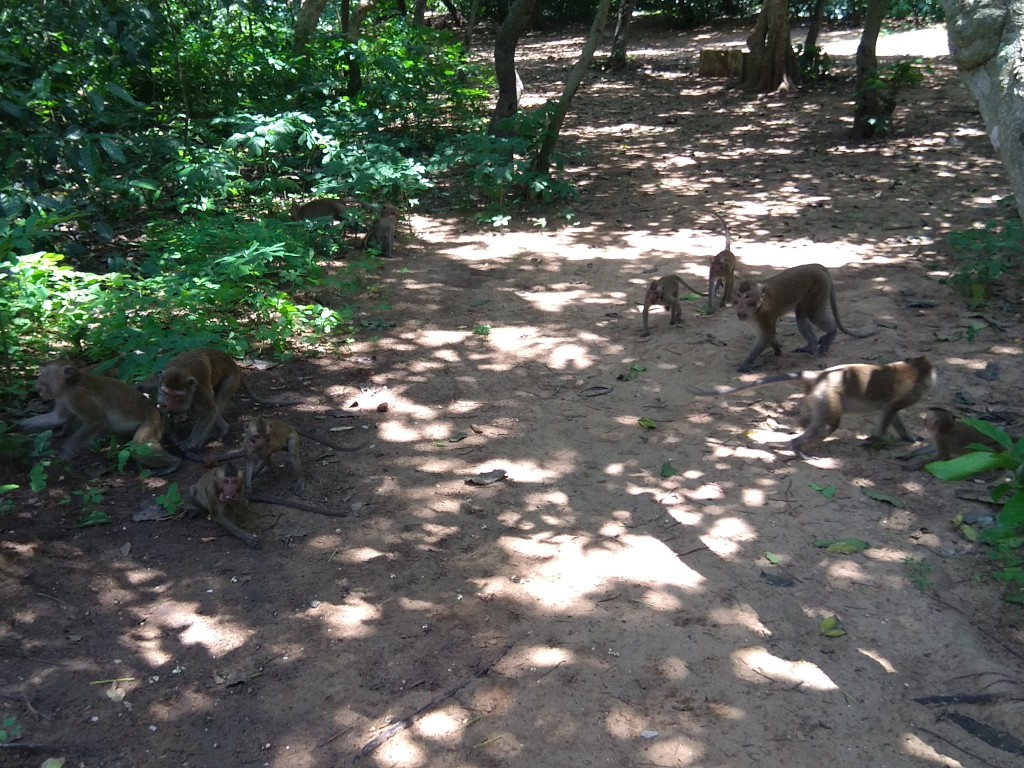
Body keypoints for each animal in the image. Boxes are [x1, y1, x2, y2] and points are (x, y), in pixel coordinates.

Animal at [20, 360, 180, 475]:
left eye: (42, 376)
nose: (36, 385)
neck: (70, 386)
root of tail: (155, 410)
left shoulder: (78, 398)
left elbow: (96, 421)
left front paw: (67, 452)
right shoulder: (62, 398)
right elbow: (58, 418)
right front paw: (22, 426)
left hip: (152, 423)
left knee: (138, 447)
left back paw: (173, 463)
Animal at [152, 350, 299, 454]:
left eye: (176, 396)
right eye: (166, 393)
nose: (169, 402)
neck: (181, 368)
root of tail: (234, 364)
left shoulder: (200, 389)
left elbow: (209, 412)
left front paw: (191, 442)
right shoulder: (161, 381)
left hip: (231, 380)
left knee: (218, 402)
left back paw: (222, 429)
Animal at [688, 358, 937, 460]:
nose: (934, 380)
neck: (913, 369)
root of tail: (819, 375)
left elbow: (891, 411)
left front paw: (908, 437)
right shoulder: (911, 393)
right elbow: (890, 409)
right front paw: (875, 441)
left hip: (817, 397)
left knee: (814, 420)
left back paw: (801, 426)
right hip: (827, 395)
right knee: (829, 425)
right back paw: (797, 447)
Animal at [733, 264, 876, 374]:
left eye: (747, 296)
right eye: (739, 295)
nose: (740, 306)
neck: (759, 303)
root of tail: (816, 265)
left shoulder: (764, 314)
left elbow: (767, 335)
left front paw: (746, 364)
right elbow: (769, 335)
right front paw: (777, 349)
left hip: (819, 286)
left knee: (813, 314)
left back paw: (831, 333)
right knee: (801, 316)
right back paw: (811, 345)